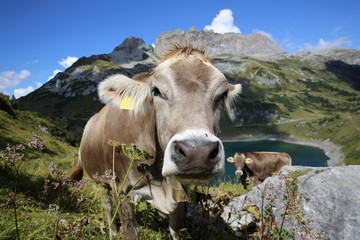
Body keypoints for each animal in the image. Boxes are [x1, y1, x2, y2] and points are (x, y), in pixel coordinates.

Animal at [70, 44, 242, 238]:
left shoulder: (181, 191)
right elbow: (131, 231)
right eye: (156, 91)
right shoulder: (120, 188)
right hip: (101, 179)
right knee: (106, 204)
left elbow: (176, 230)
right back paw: (112, 232)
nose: (197, 153)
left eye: (223, 95)